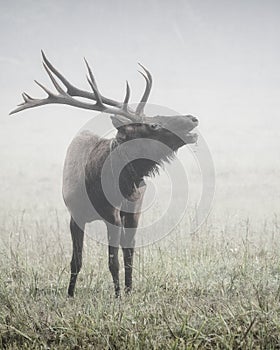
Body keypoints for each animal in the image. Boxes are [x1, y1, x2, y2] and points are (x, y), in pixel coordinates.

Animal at [10, 51, 199, 298]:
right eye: (154, 124)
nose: (193, 118)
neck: (95, 184)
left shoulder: (115, 215)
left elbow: (114, 261)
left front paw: (118, 295)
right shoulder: (75, 216)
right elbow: (77, 261)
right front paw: (70, 294)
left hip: (134, 210)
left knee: (129, 252)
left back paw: (128, 289)